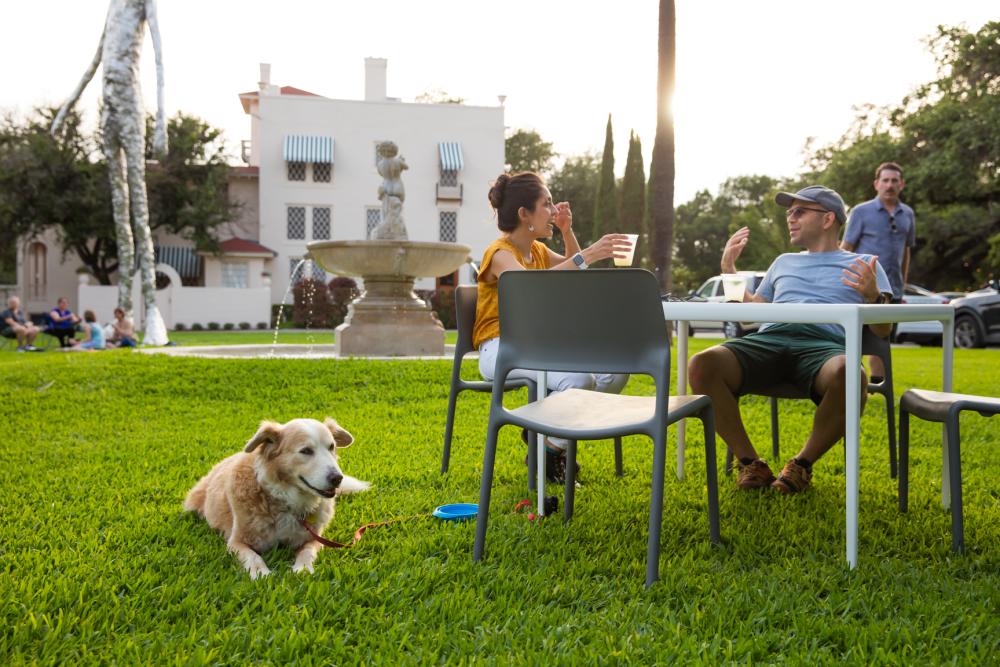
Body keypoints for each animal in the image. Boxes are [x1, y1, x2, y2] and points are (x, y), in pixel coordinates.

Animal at [182, 418, 370, 580]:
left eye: (331, 447)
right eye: (306, 451)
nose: (338, 478)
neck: (285, 500)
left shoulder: (314, 539)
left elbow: (307, 552)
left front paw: (302, 569)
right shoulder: (237, 542)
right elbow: (254, 557)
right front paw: (261, 573)